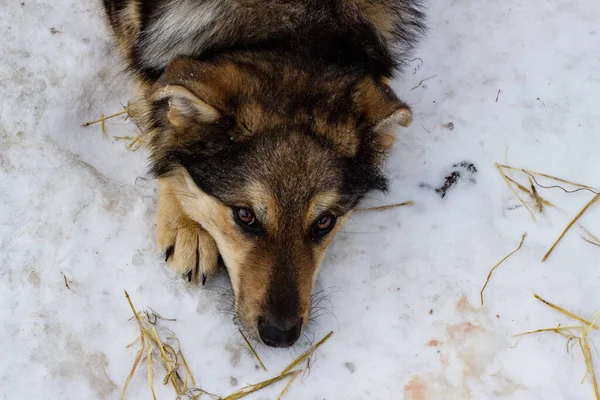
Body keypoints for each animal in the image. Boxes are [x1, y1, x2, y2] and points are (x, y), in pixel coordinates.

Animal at [101, 0, 424, 348]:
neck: (293, 28)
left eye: (325, 222)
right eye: (245, 215)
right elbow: (159, 120)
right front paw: (190, 227)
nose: (280, 336)